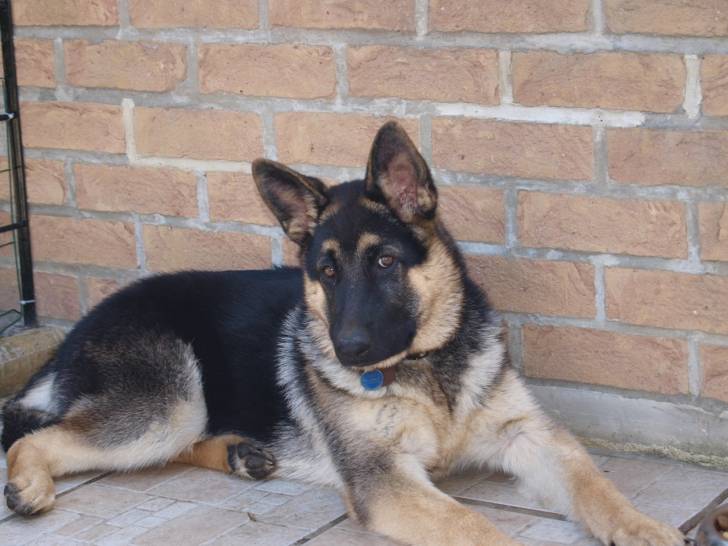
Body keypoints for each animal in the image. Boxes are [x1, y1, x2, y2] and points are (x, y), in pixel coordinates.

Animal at [1, 122, 684, 545]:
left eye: (384, 261)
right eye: (326, 273)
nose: (349, 351)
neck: (426, 368)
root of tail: (72, 335)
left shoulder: (530, 436)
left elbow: (597, 486)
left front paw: (645, 527)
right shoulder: (386, 481)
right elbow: (478, 528)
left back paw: (241, 454)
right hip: (169, 405)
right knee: (36, 437)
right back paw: (28, 484)